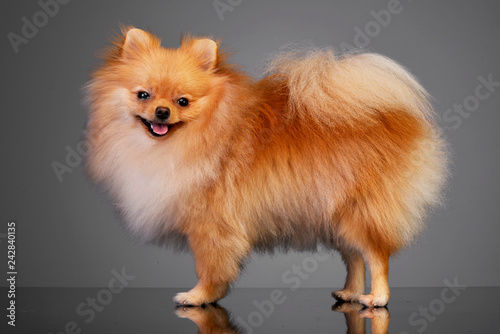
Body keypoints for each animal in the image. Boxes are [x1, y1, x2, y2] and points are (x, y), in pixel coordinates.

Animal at [84, 27, 448, 306]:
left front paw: (199, 297)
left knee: (377, 256)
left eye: (182, 101)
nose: (162, 112)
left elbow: (208, 267)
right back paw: (349, 292)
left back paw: (377, 298)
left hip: (361, 213)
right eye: (143, 95)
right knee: (355, 257)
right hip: (337, 215)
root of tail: (397, 117)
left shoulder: (211, 226)